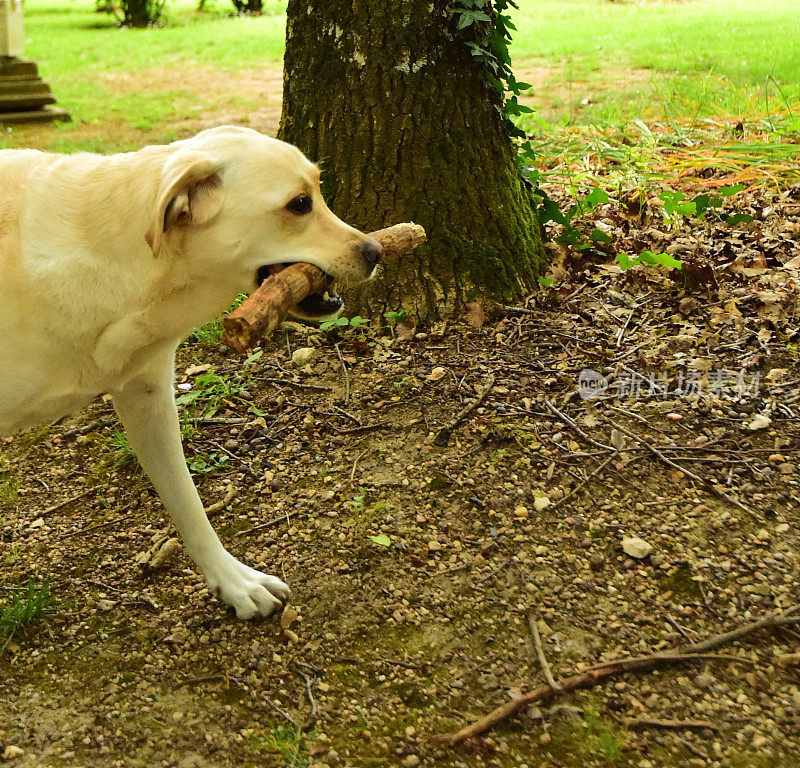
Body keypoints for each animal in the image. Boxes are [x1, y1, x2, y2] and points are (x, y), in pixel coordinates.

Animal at [0, 126, 382, 616]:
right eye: (299, 204)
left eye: (318, 189)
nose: (376, 250)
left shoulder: (148, 398)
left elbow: (188, 502)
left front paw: (234, 582)